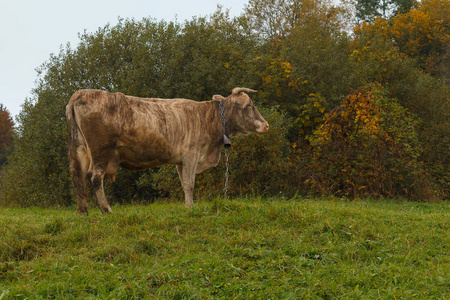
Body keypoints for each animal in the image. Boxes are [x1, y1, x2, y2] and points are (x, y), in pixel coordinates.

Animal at [65, 86, 268, 213]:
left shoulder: (181, 161)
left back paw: (83, 211)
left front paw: (188, 206)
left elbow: (184, 184)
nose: (266, 125)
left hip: (79, 150)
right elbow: (190, 184)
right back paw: (106, 209)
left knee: (78, 178)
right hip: (101, 151)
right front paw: (190, 208)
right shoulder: (192, 155)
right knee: (95, 178)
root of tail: (81, 93)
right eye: (250, 105)